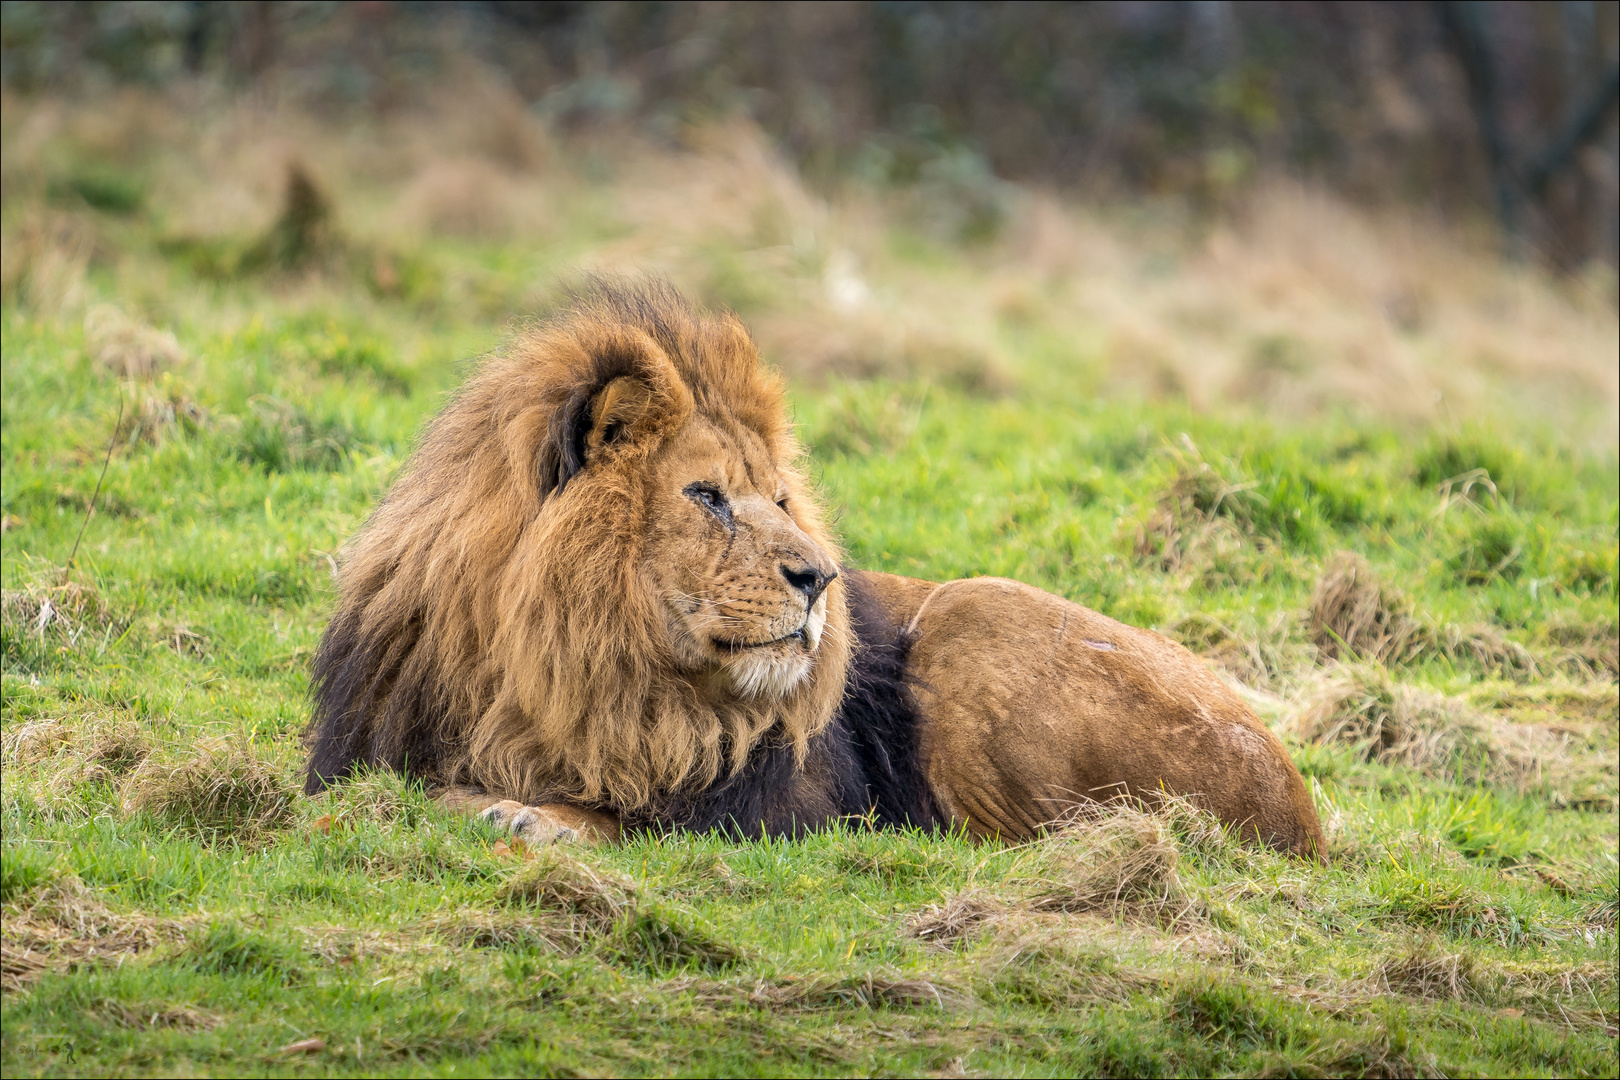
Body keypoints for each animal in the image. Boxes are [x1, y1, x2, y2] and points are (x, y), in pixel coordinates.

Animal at [306, 278, 1328, 861]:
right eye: (708, 497)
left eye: (781, 501)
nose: (819, 580)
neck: (570, 667)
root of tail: (1303, 801)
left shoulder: (794, 806)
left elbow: (648, 816)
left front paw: (528, 814)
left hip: (975, 615)